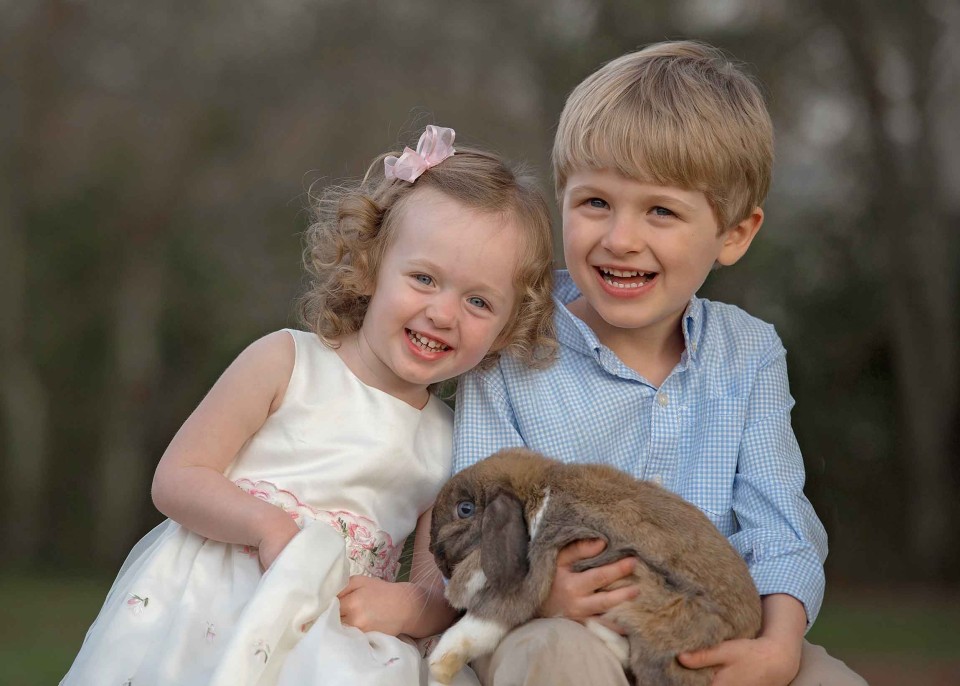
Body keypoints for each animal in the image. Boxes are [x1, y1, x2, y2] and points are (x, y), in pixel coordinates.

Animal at [426, 448, 756, 684]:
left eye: (465, 509)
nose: (431, 551)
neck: (538, 494)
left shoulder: (536, 568)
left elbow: (482, 622)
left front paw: (438, 666)